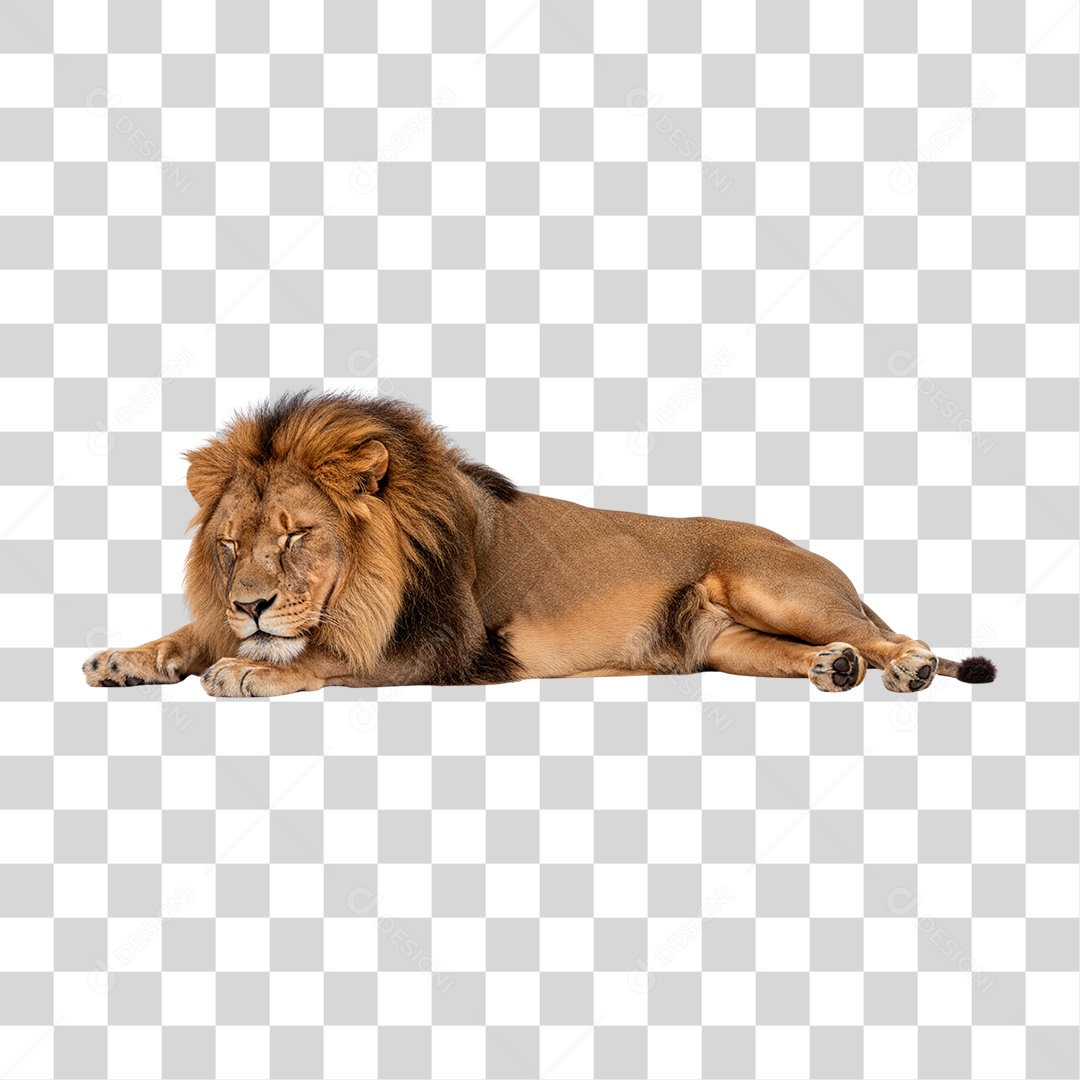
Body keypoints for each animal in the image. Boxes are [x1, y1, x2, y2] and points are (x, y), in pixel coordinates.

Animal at [83, 390, 997, 698]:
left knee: (888, 633)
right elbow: (195, 633)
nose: (252, 605)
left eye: (299, 534)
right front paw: (132, 657)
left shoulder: (448, 647)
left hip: (775, 585)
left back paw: (908, 667)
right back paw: (832, 669)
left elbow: (329, 655)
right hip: (729, 644)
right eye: (230, 545)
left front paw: (250, 667)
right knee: (831, 649)